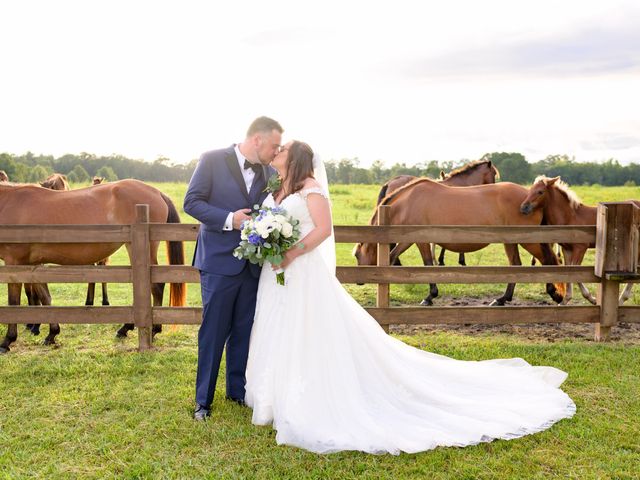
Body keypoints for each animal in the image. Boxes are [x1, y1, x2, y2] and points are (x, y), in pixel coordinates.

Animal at [0, 178, 186, 350]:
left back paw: (151, 330)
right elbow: (45, 297)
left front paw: (7, 340)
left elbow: (13, 302)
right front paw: (52, 333)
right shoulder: (32, 264)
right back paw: (128, 328)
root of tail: (157, 193)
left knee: (155, 286)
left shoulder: (14, 262)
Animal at [352, 178, 564, 306]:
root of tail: (530, 199)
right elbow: (395, 257)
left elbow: (426, 264)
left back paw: (554, 293)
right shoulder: (410, 240)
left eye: (356, 254)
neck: (407, 203)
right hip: (511, 241)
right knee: (517, 265)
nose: (359, 281)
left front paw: (430, 296)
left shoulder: (417, 240)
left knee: (547, 261)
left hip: (527, 240)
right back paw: (503, 299)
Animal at [520, 175, 640, 304]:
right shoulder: (567, 250)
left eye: (540, 192)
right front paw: (565, 300)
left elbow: (576, 272)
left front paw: (591, 299)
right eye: (530, 190)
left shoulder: (581, 248)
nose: (524, 207)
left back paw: (622, 298)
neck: (570, 217)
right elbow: (569, 271)